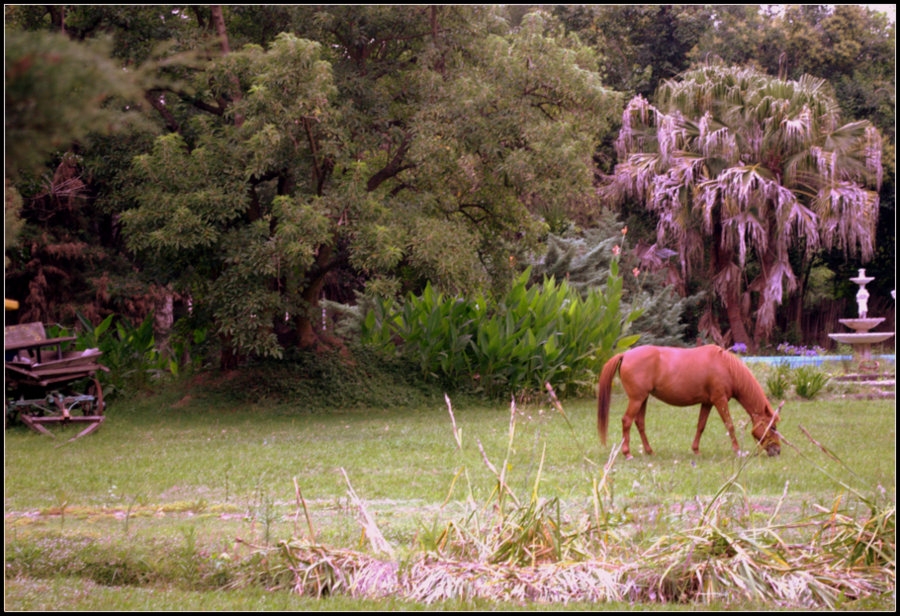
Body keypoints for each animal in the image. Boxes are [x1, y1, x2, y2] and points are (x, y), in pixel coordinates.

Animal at [596, 344, 780, 460]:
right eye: (772, 427)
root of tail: (625, 354)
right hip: (637, 399)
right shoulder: (720, 400)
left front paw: (696, 450)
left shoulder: (707, 403)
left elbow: (701, 426)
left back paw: (649, 451)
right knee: (627, 421)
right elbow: (730, 425)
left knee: (639, 422)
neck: (725, 366)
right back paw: (627, 453)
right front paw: (738, 451)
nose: (777, 451)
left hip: (643, 399)